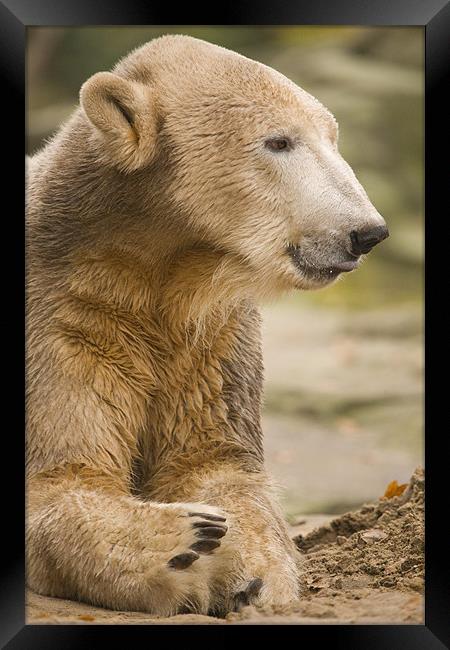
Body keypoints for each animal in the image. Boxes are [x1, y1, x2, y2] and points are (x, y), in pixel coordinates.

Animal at [26, 34, 388, 612]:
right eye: (278, 141)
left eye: (332, 136)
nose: (366, 232)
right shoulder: (66, 317)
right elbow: (64, 474)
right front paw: (185, 541)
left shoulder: (211, 332)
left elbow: (215, 461)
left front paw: (251, 573)